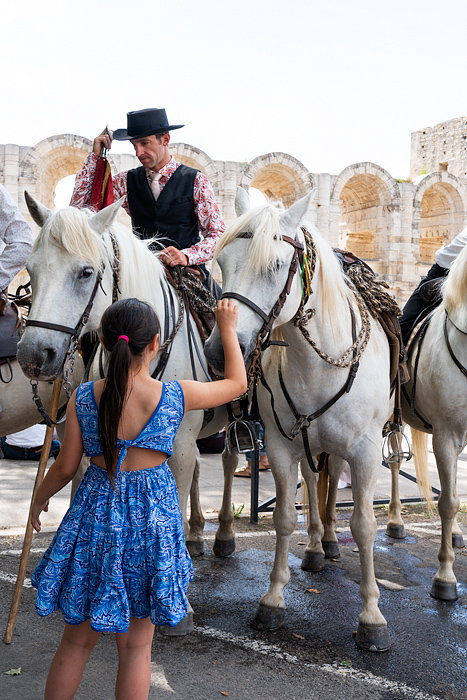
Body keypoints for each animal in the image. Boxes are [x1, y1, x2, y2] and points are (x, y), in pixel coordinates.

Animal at [206, 187, 394, 652]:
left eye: (275, 266)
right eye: (222, 262)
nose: (219, 352)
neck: (317, 365)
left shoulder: (366, 453)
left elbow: (365, 526)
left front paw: (372, 617)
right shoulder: (280, 447)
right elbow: (284, 518)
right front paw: (273, 600)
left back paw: (328, 541)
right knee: (313, 482)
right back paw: (314, 546)